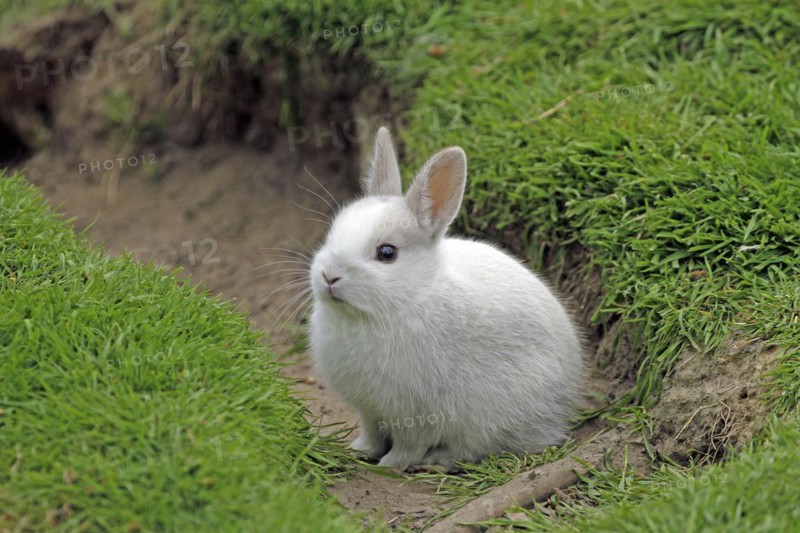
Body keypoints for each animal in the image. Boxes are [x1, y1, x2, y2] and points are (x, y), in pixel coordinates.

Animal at [308, 127, 584, 472]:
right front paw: (359, 451)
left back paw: (436, 461)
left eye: (387, 253)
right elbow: (371, 433)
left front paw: (389, 465)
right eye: (333, 233)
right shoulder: (368, 409)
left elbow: (409, 446)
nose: (329, 276)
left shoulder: (417, 414)